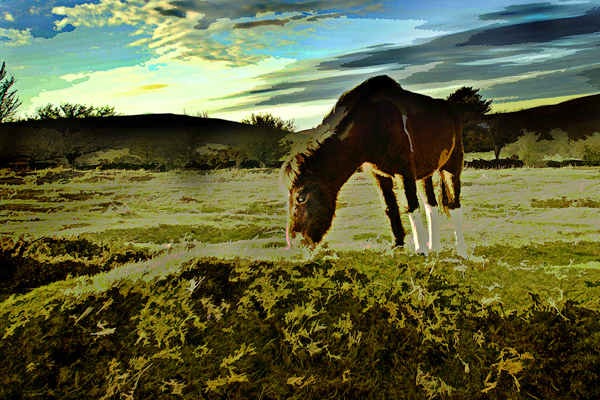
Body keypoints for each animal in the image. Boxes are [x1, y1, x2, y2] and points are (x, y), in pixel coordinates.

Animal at [280, 75, 468, 258]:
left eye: (301, 198)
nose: (294, 243)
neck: (372, 123)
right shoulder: (379, 175)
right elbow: (390, 207)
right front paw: (398, 245)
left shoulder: (404, 172)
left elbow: (410, 205)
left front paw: (420, 249)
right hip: (425, 174)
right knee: (431, 206)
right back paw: (434, 247)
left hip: (452, 165)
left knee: (454, 204)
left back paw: (461, 251)